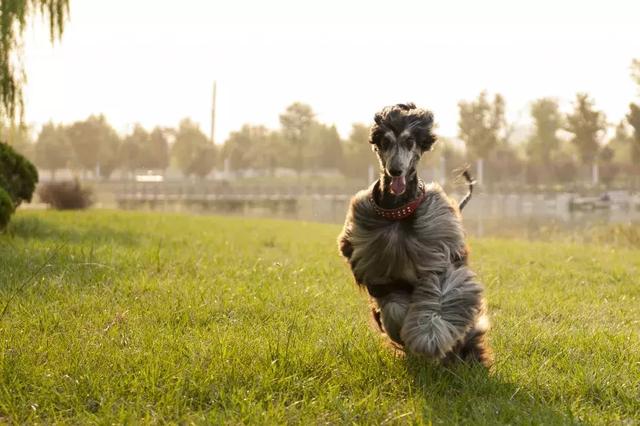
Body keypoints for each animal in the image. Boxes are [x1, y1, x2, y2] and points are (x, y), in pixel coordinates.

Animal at [338, 102, 492, 366]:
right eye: (385, 141)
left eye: (410, 141)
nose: (395, 170)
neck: (397, 212)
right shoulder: (380, 273)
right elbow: (393, 307)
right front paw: (401, 333)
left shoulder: (438, 255)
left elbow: (440, 296)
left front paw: (428, 337)